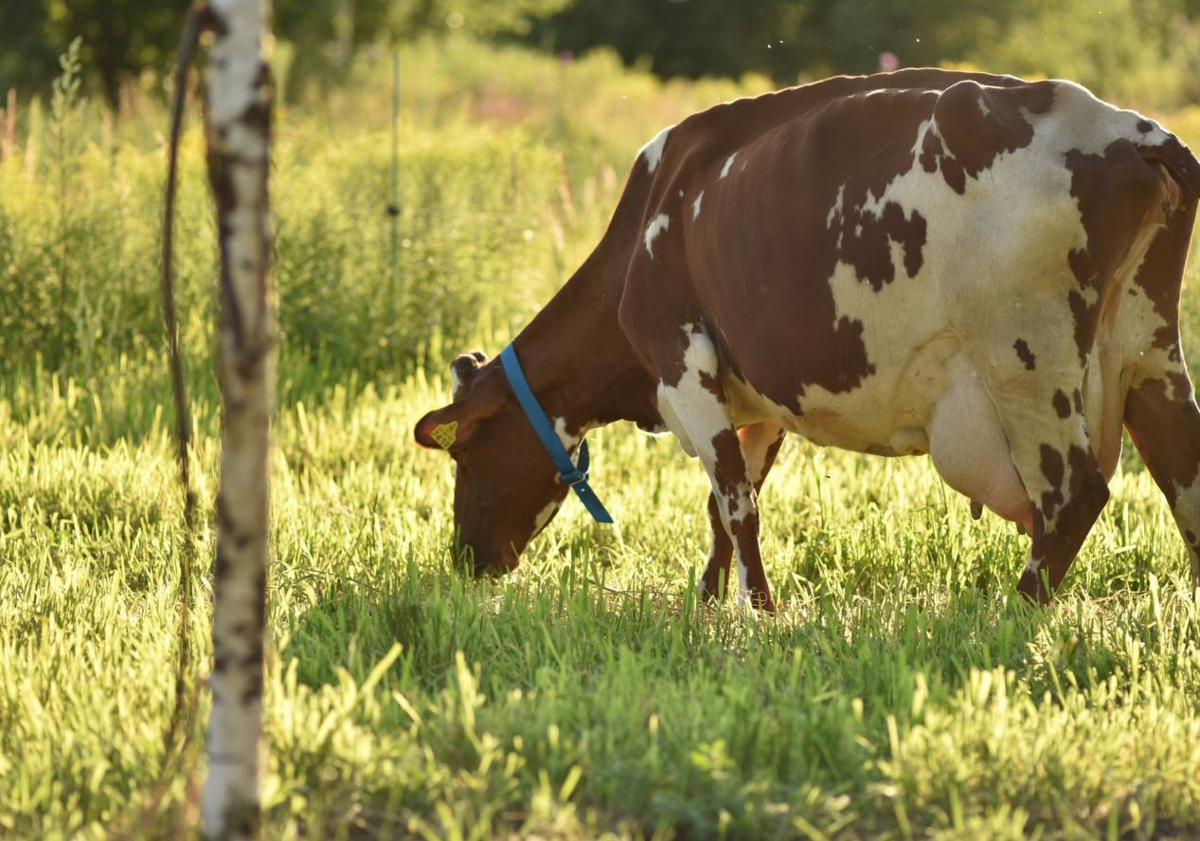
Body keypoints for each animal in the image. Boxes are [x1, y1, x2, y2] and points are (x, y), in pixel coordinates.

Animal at [415, 70, 1200, 609]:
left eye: (465, 453)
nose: (464, 561)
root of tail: (1128, 130)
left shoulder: (682, 363)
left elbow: (735, 501)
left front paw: (761, 612)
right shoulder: (756, 397)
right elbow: (723, 506)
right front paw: (708, 601)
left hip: (1025, 359)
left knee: (1074, 493)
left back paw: (1011, 608)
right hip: (1150, 358)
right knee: (1182, 476)